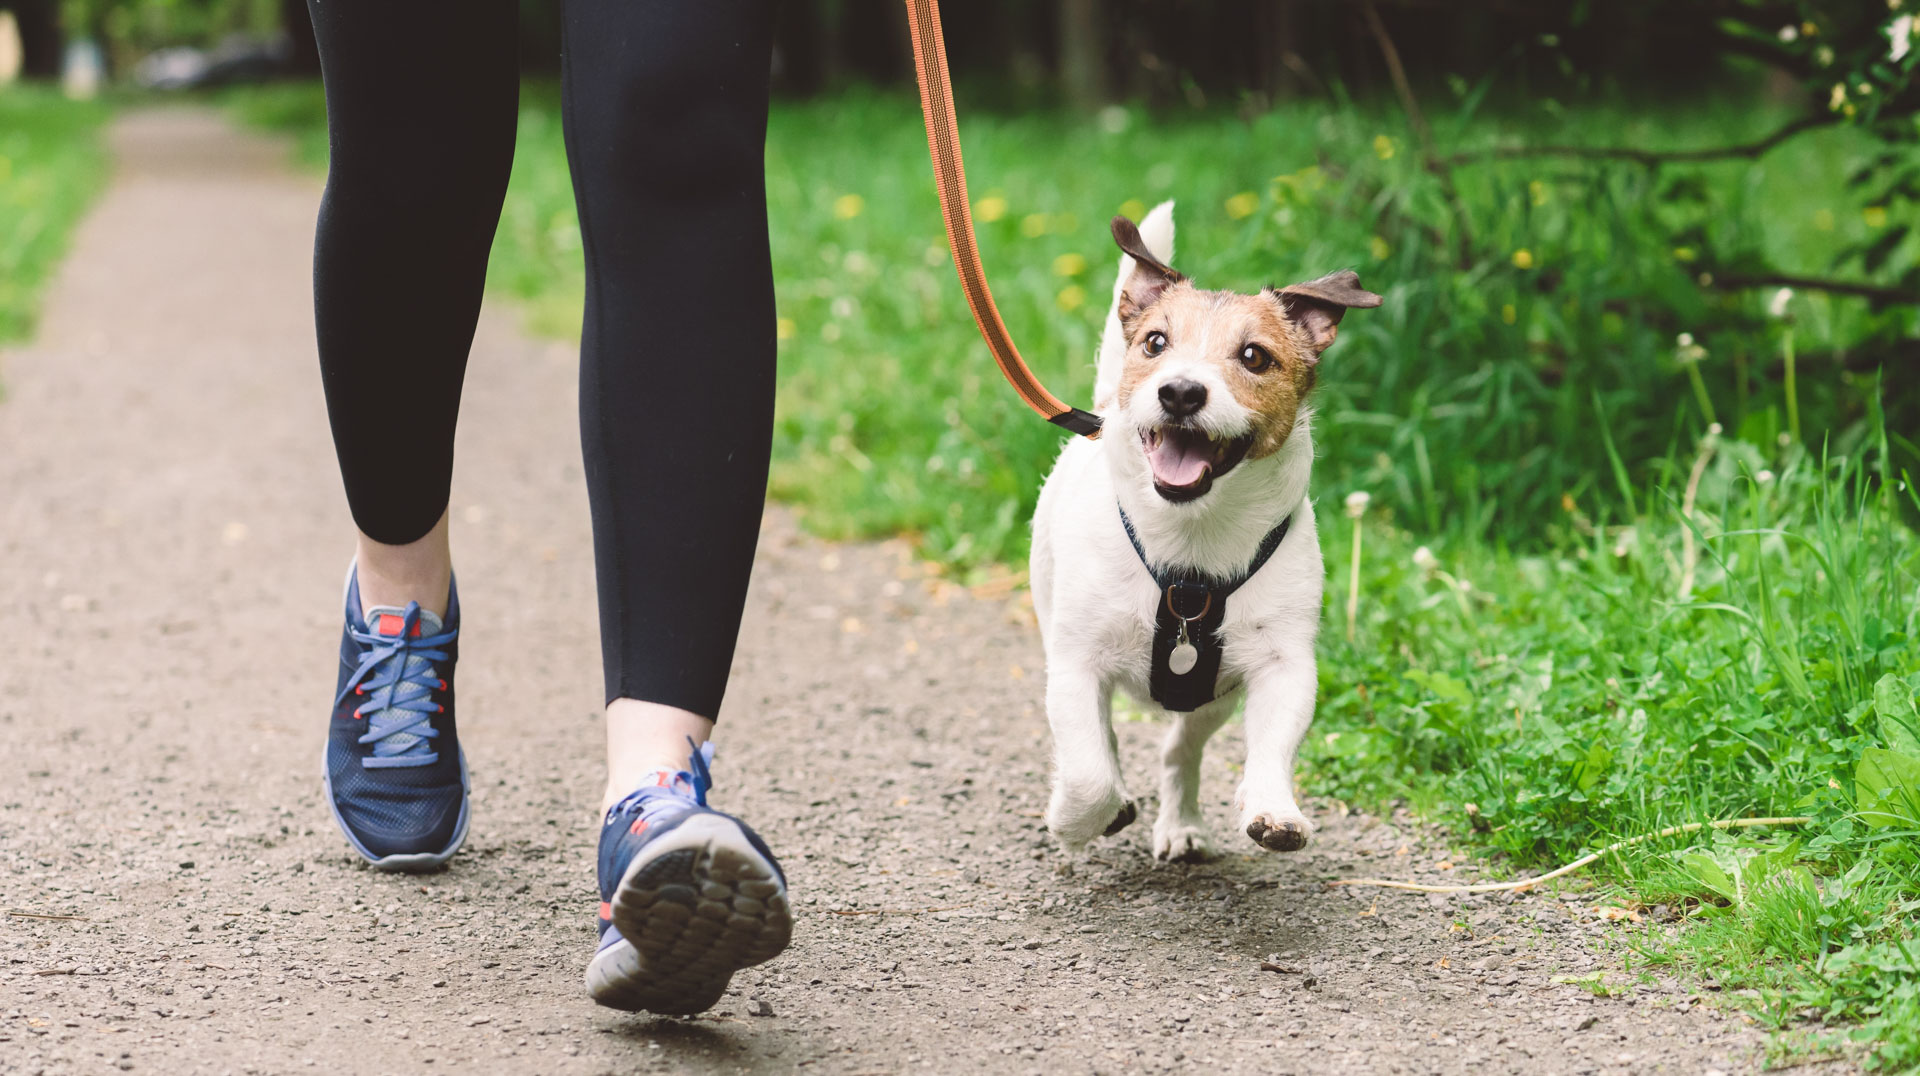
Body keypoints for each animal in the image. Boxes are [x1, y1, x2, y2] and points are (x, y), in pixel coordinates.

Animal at [1036, 199, 1382, 856]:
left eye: (1254, 356)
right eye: (1155, 343)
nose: (1180, 391)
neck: (1190, 546)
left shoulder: (1282, 663)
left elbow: (1273, 744)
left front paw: (1274, 808)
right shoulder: (1075, 663)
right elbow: (1090, 771)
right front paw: (1076, 819)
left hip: (1209, 699)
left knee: (1181, 750)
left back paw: (1182, 824)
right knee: (1104, 744)